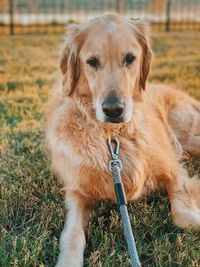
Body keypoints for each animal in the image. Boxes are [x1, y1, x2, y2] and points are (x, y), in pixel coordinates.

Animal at [46, 14, 200, 267]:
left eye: (130, 58)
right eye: (92, 61)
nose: (113, 110)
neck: (113, 136)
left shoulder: (174, 170)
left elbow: (183, 215)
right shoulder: (78, 192)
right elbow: (72, 234)